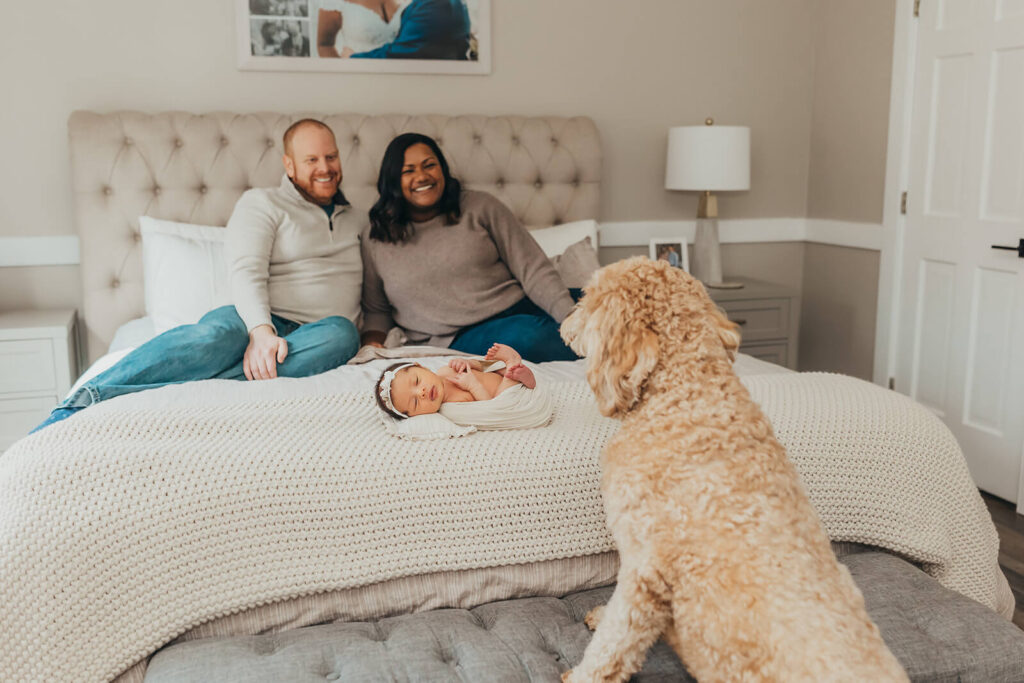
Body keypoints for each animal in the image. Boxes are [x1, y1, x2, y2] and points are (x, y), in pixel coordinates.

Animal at [561, 258, 905, 683]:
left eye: (587, 298)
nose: (564, 324)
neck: (688, 392)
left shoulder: (645, 568)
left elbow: (615, 640)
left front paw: (582, 672)